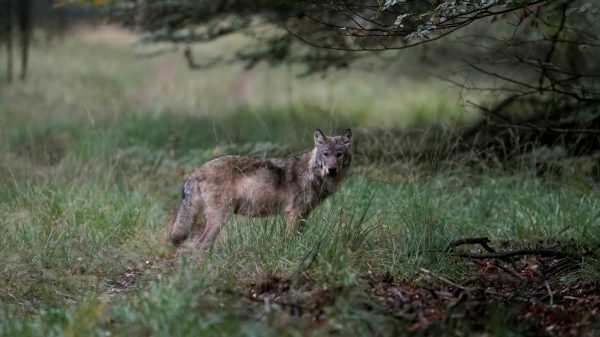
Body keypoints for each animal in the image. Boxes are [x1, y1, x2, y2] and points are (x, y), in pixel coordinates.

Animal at [169, 127, 352, 248]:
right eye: (325, 154)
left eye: (339, 154)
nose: (332, 169)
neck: (312, 174)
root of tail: (198, 170)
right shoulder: (293, 213)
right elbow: (290, 240)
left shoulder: (304, 214)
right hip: (220, 217)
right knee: (201, 245)